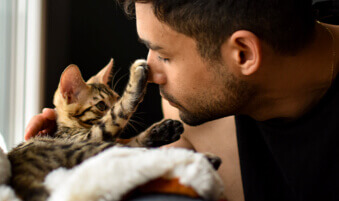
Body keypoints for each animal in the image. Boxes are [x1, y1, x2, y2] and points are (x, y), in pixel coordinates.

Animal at [6, 59, 185, 201]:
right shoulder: (93, 135)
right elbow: (119, 113)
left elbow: (133, 137)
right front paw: (137, 77)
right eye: (101, 105)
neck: (69, 126)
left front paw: (163, 130)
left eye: (116, 98)